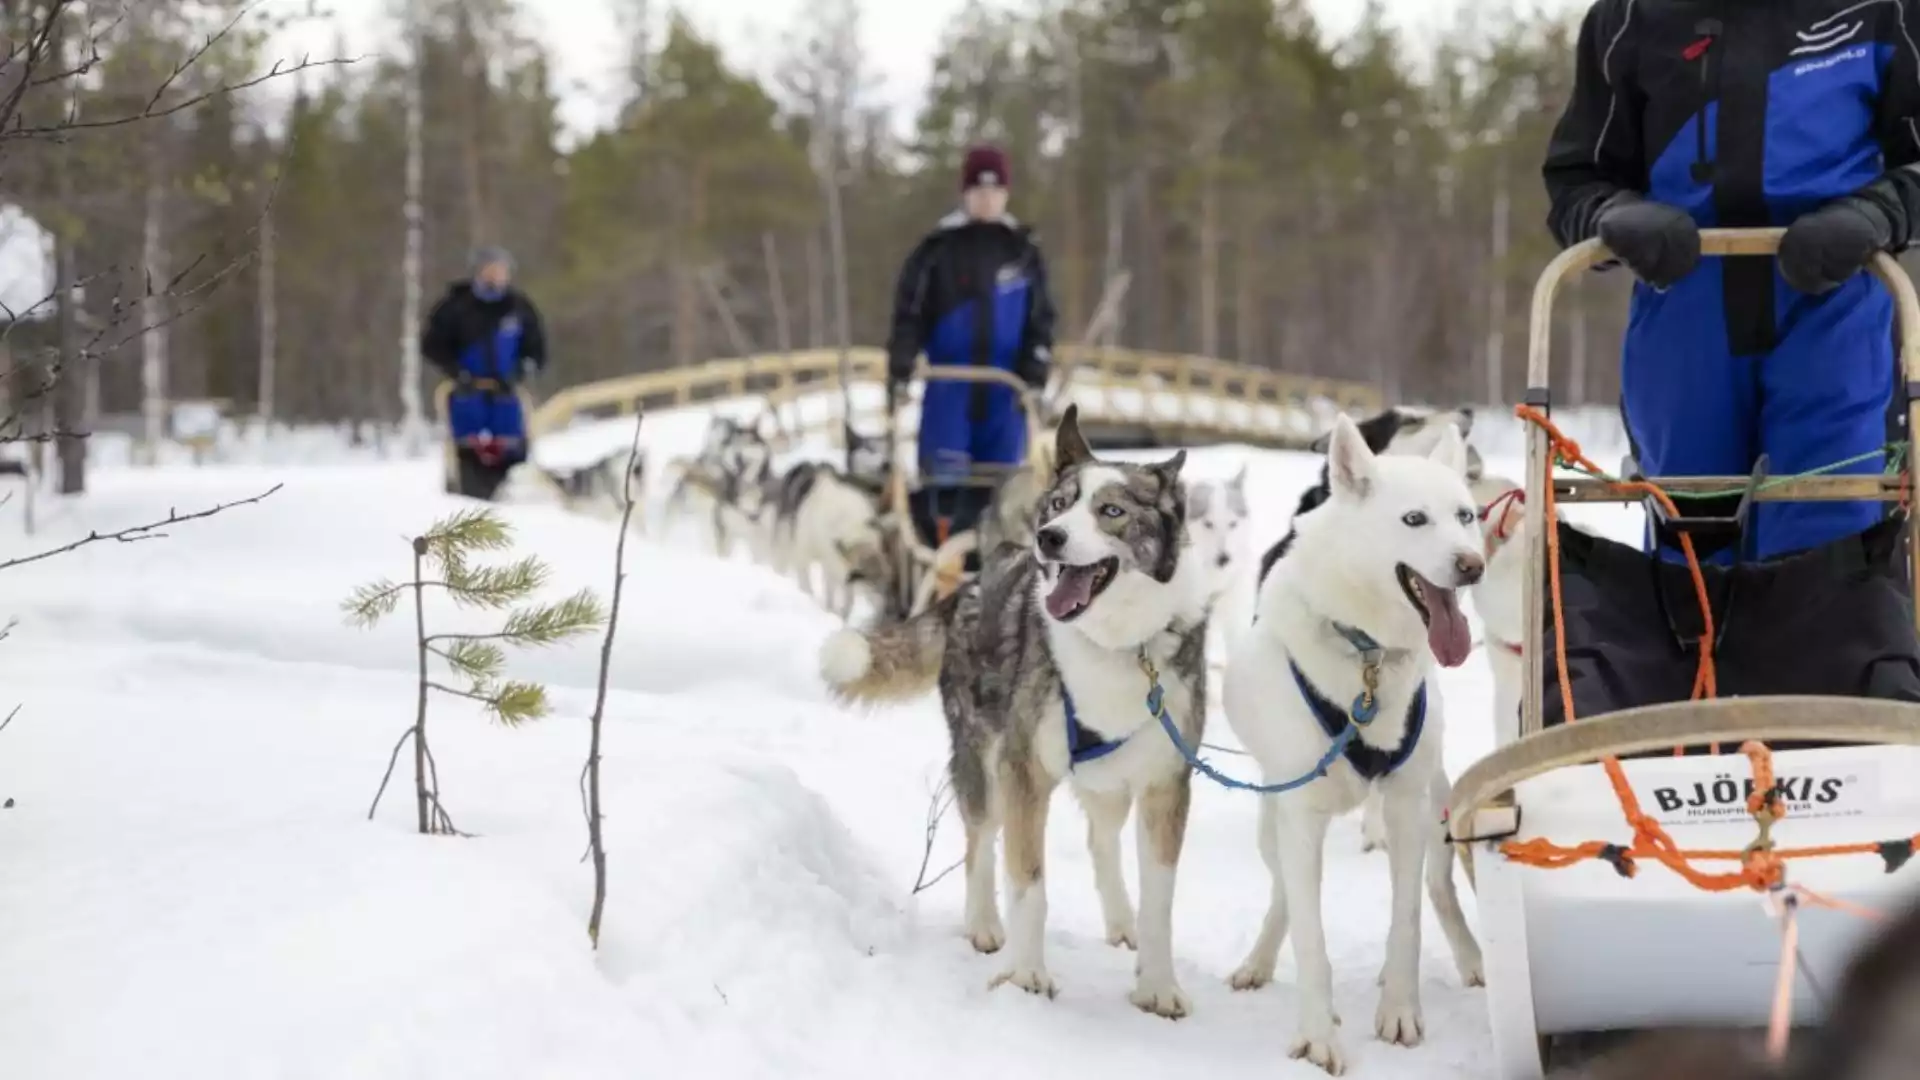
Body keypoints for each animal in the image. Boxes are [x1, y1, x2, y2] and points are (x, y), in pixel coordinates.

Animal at [817, 407, 1205, 1014]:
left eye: (1111, 511)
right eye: (1059, 504)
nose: (1049, 537)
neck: (1113, 644)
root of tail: (975, 583)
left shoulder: (1166, 785)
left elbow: (1159, 901)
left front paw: (1158, 987)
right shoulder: (1026, 774)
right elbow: (1028, 882)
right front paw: (1025, 976)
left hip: (1110, 784)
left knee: (1101, 840)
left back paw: (1121, 923)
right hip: (984, 762)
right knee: (981, 842)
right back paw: (983, 925)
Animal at [1228, 409, 1482, 1068]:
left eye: (1466, 515)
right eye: (1415, 519)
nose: (1472, 564)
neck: (1366, 655)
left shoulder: (1406, 806)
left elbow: (1408, 920)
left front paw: (1400, 1011)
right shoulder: (1299, 816)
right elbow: (1310, 935)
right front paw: (1319, 1033)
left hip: (1435, 810)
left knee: (1439, 890)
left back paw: (1472, 958)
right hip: (1274, 822)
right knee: (1284, 897)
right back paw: (1259, 962)